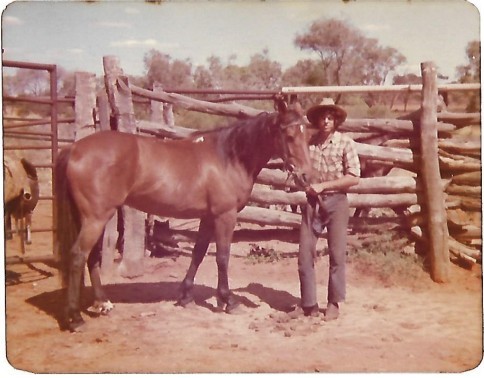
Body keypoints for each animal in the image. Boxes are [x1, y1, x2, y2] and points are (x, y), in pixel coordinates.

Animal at [56, 100, 312, 330]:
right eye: (289, 135)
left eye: (306, 135)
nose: (307, 176)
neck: (228, 157)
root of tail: (74, 148)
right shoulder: (225, 216)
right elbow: (222, 257)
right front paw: (228, 301)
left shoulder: (207, 217)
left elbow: (198, 254)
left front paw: (186, 296)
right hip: (96, 218)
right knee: (78, 255)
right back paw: (75, 318)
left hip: (90, 218)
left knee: (91, 257)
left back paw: (103, 304)